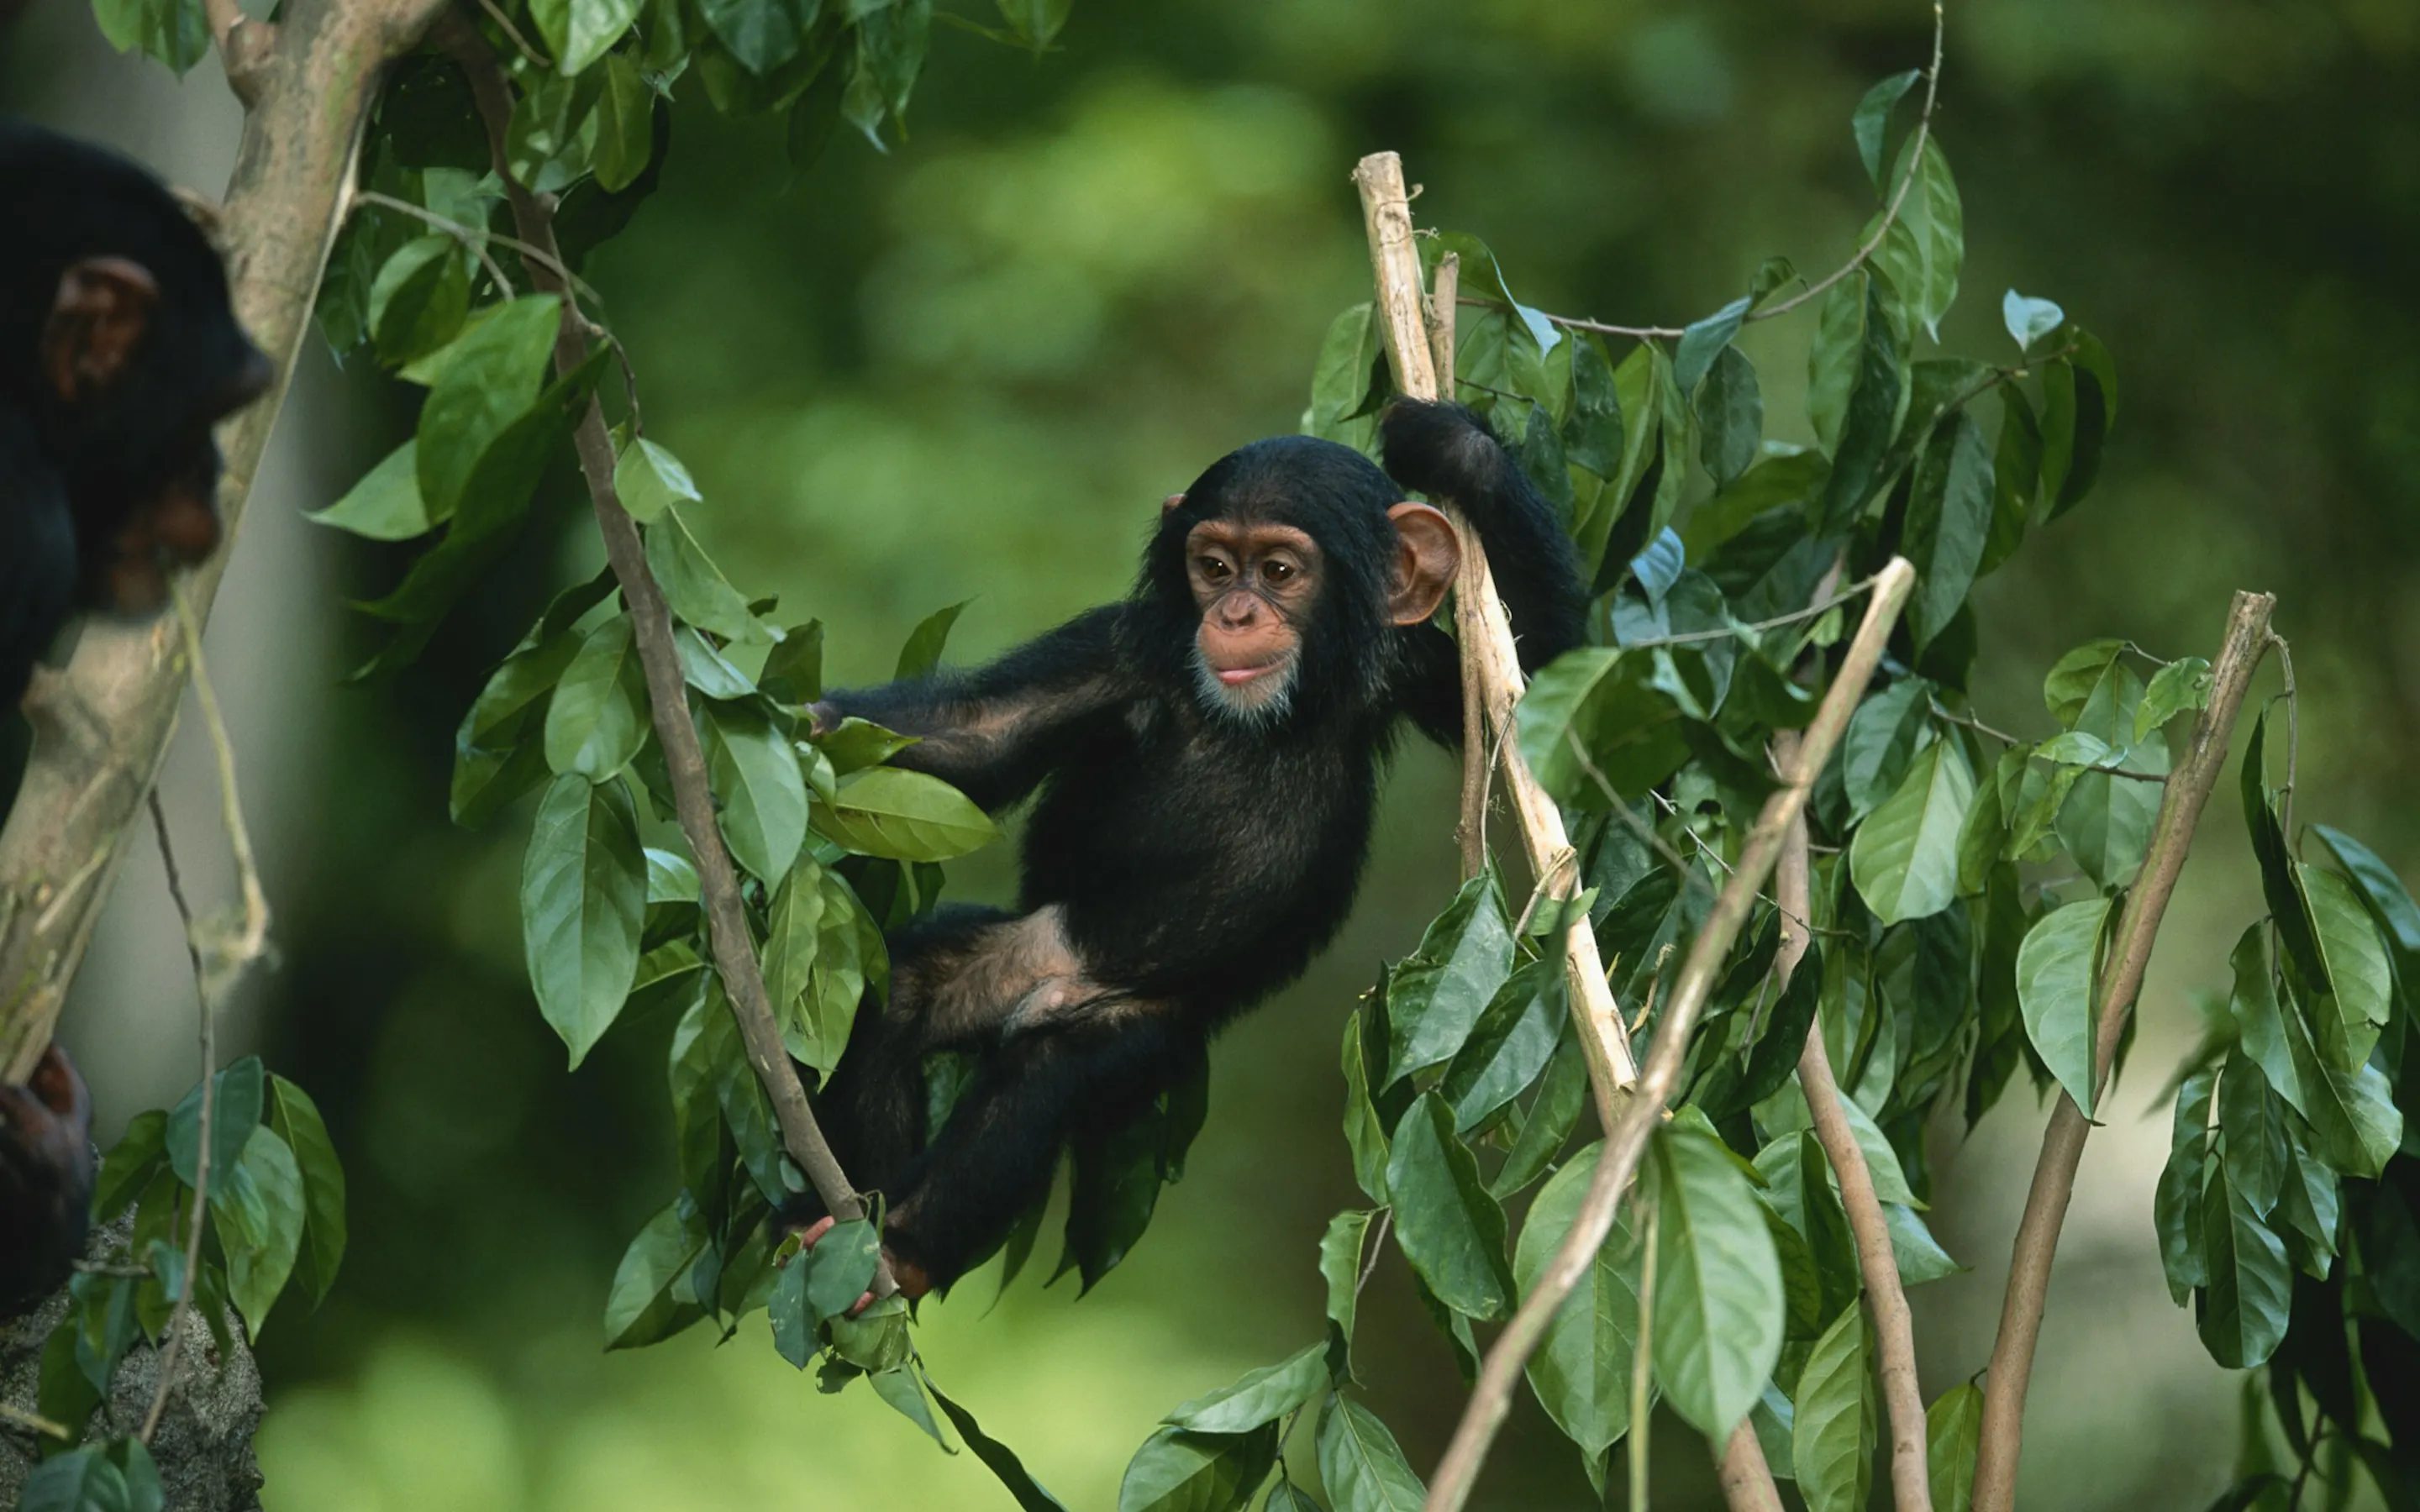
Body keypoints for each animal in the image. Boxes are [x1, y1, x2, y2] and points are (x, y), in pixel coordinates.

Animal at [787, 399, 1586, 1298]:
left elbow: (1552, 689)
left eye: (1278, 570)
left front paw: (1454, 448)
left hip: (1129, 1023)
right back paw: (856, 1222)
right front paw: (775, 721)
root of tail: (1050, 979)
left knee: (1042, 1079)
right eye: (1213, 565)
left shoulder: (1410, 664)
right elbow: (973, 737)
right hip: (1026, 946)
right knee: (898, 994)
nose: (1234, 613)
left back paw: (903, 1243)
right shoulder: (1123, 646)